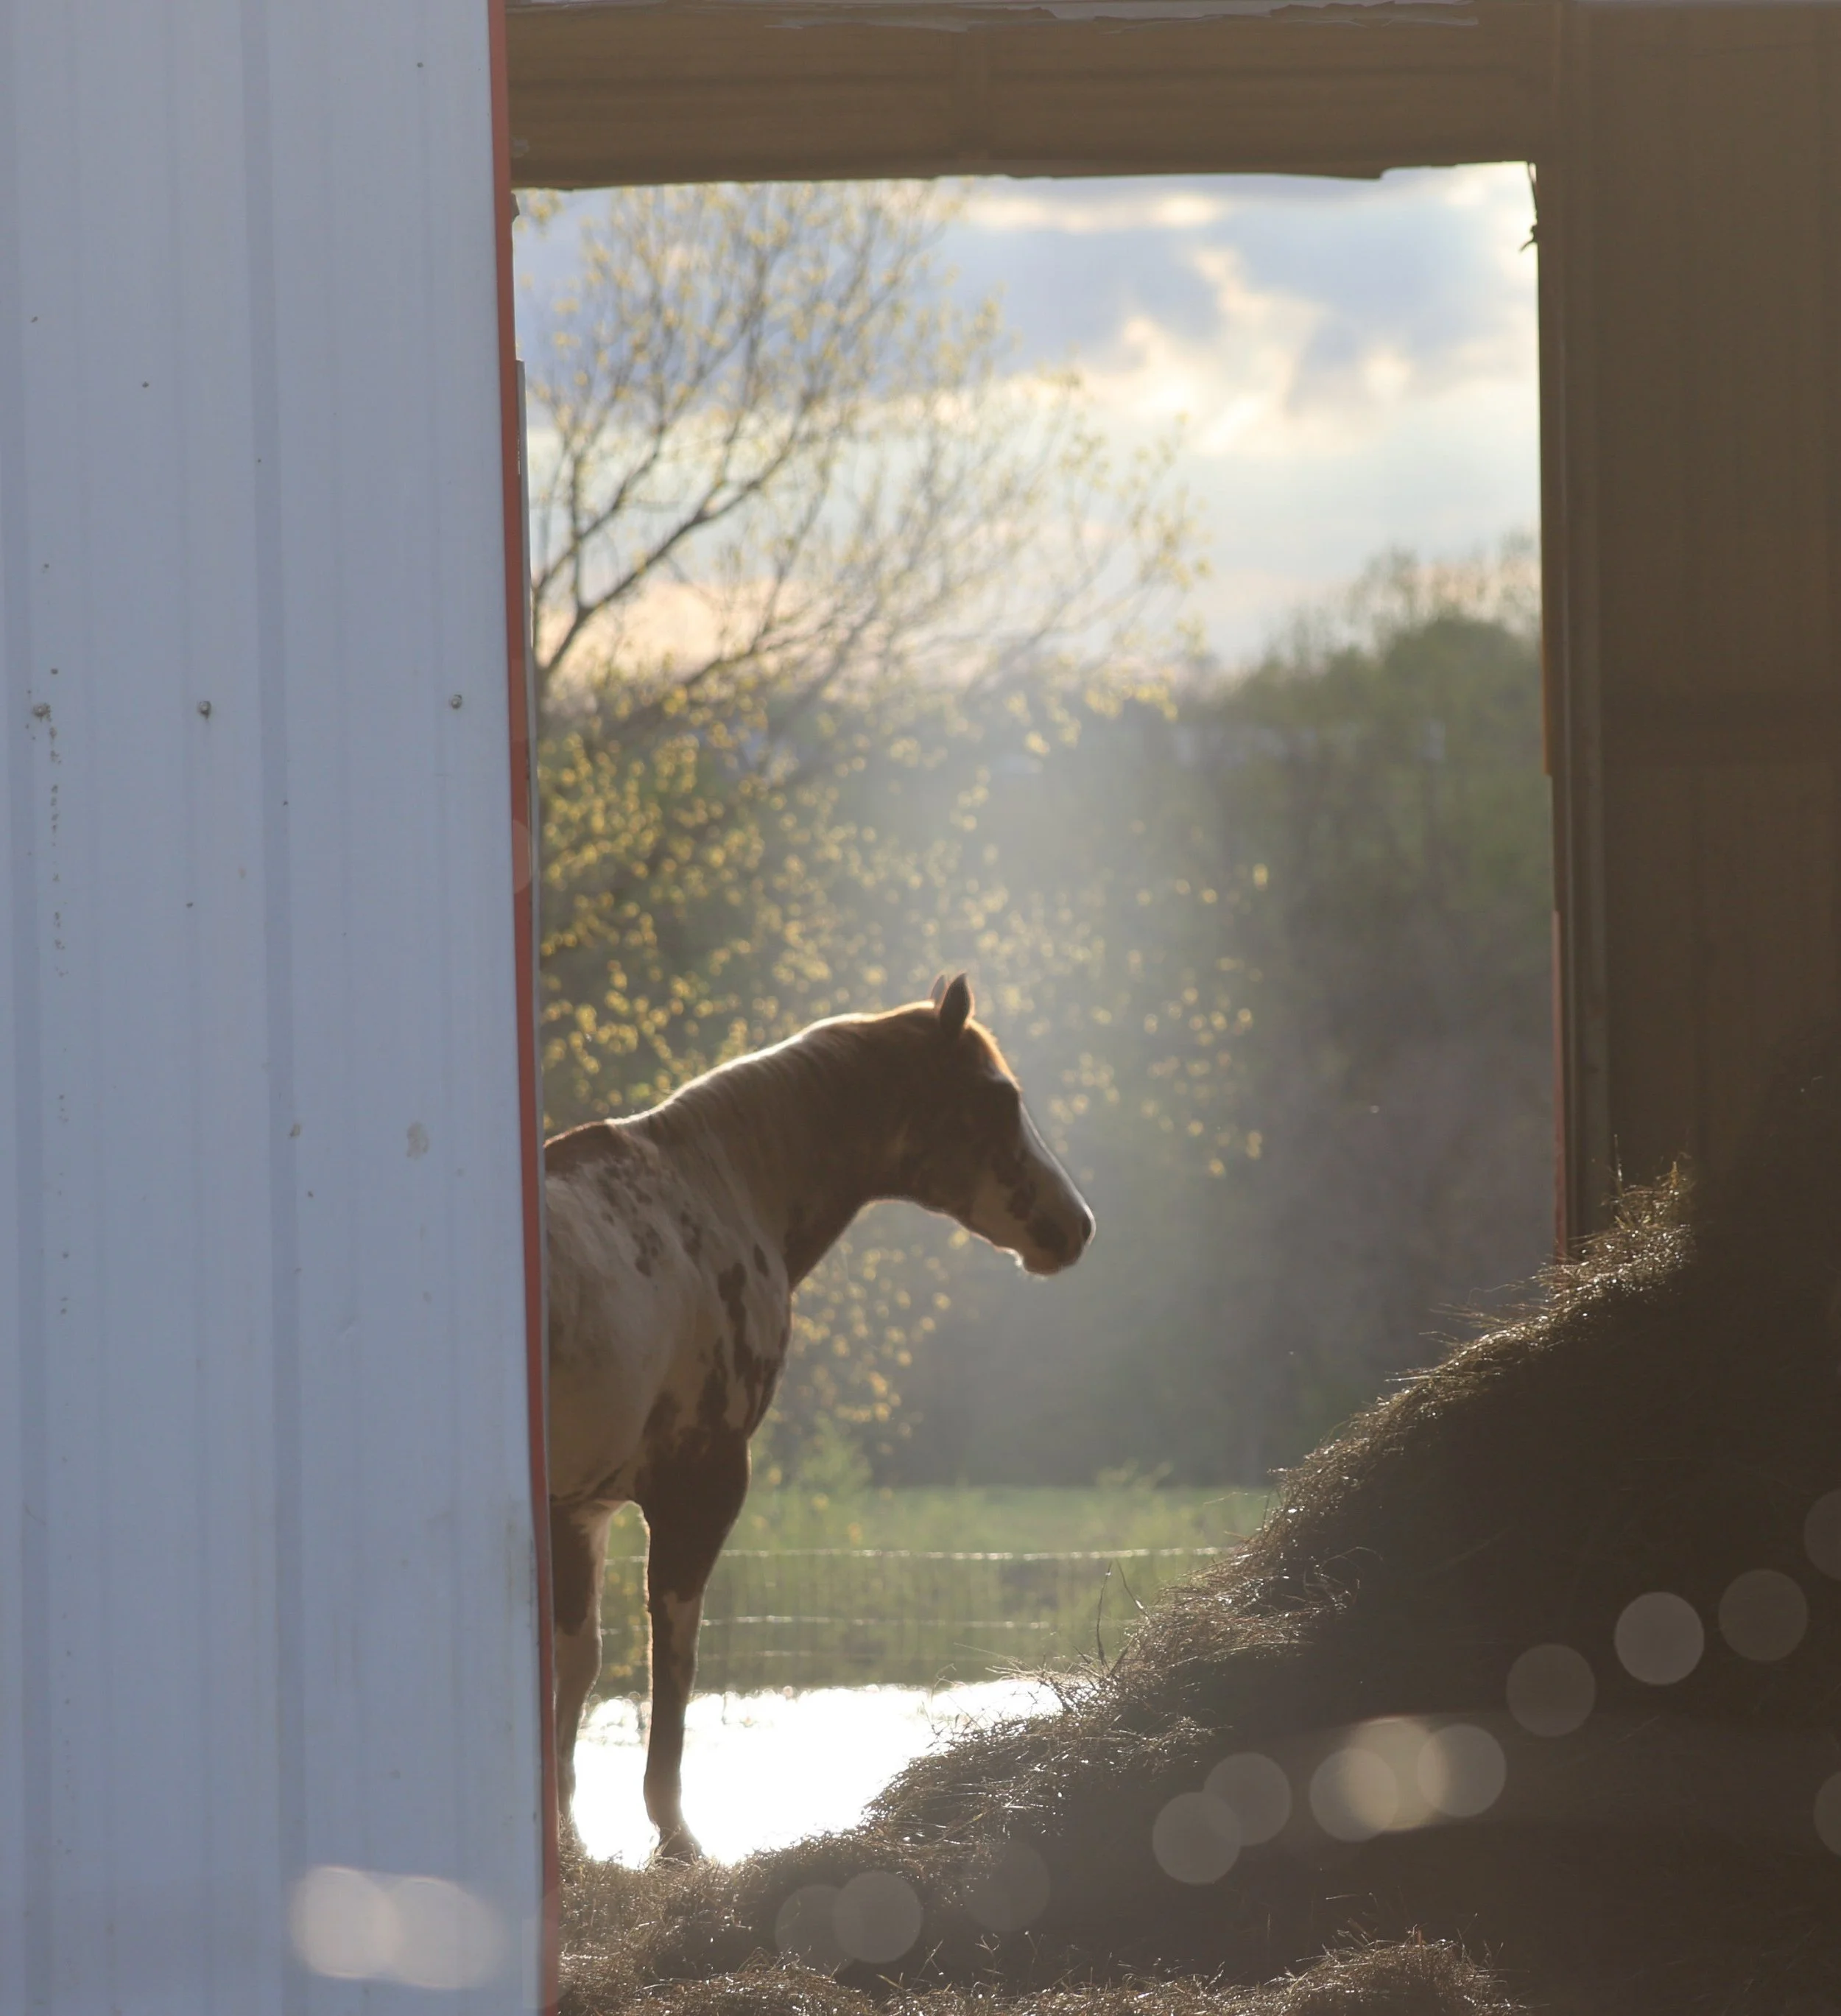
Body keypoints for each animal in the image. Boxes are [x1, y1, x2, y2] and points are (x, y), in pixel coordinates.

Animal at [543, 974, 1095, 1859]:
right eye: (998, 1096)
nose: (1075, 1225)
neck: (712, 1196)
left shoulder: (581, 1509)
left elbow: (580, 1662)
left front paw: (568, 1836)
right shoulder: (699, 1486)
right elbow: (675, 1655)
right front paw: (674, 1835)